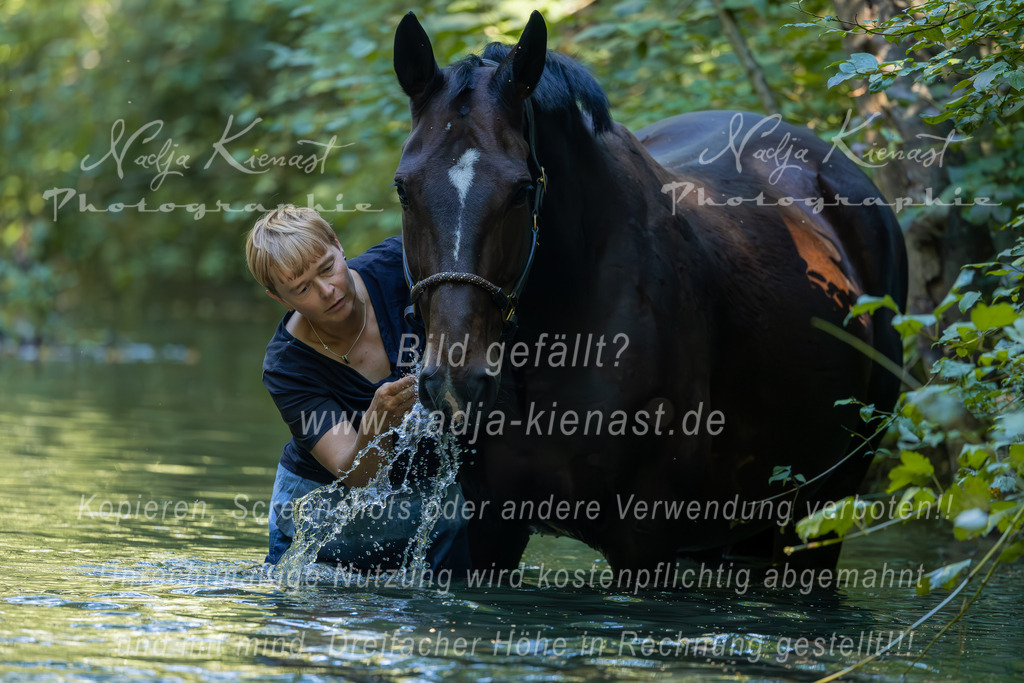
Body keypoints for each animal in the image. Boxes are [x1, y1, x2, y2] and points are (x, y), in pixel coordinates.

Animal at [392, 10, 908, 574]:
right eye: (403, 189)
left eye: (522, 190)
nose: (455, 384)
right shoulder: (491, 529)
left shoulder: (646, 536)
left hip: (822, 508)